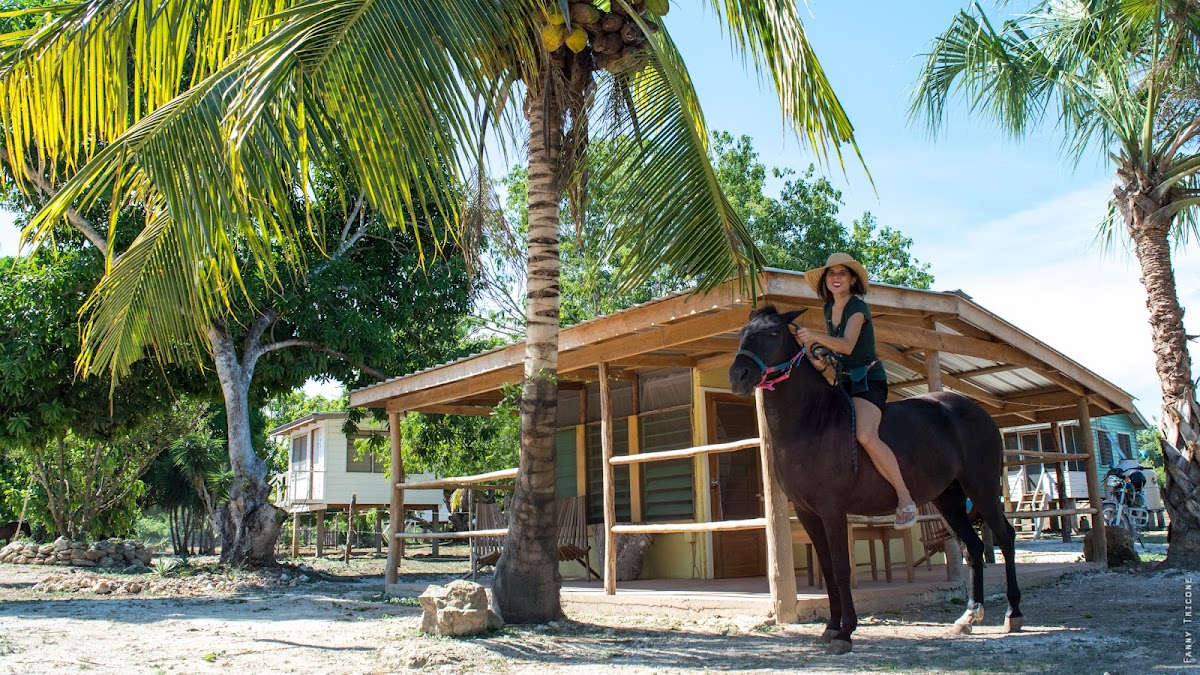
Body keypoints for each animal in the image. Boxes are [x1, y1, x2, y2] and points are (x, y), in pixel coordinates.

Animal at [728, 305, 1021, 654]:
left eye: (773, 332)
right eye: (742, 332)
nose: (738, 375)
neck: (812, 422)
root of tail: (977, 412)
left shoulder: (832, 510)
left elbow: (841, 568)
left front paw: (845, 632)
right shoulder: (807, 513)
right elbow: (827, 569)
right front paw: (830, 627)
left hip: (982, 488)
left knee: (1005, 537)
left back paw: (1013, 614)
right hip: (949, 499)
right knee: (974, 548)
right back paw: (968, 618)